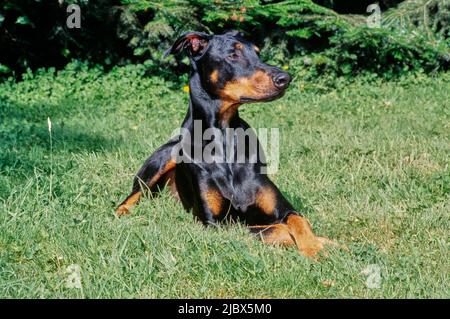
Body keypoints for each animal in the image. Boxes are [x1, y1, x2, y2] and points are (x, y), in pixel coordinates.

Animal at [117, 30, 334, 258]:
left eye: (257, 52)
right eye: (233, 55)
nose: (285, 78)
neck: (224, 137)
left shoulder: (283, 209)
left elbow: (298, 220)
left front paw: (317, 245)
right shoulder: (215, 224)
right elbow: (273, 229)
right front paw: (314, 246)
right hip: (162, 159)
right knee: (133, 194)